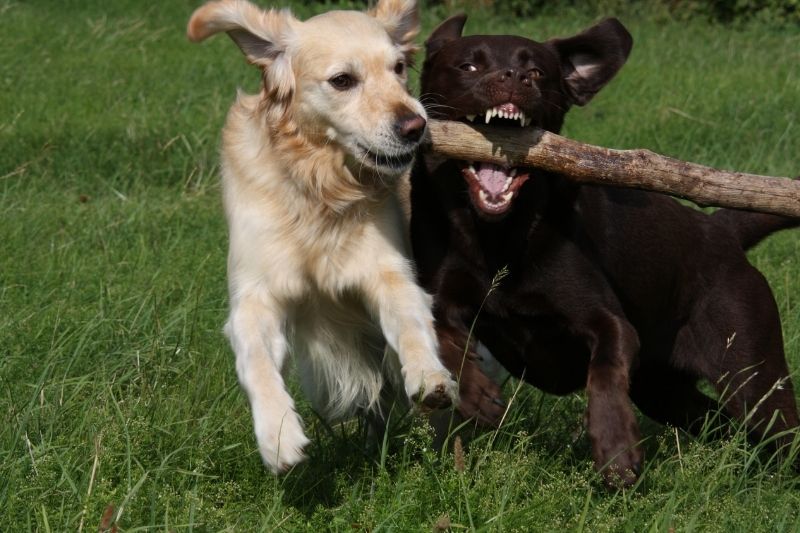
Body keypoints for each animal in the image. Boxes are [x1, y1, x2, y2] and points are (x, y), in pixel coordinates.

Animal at [187, 0, 456, 474]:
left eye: (398, 68)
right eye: (342, 81)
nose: (415, 126)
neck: (321, 186)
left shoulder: (388, 271)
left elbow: (409, 323)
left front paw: (429, 374)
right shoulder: (255, 295)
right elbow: (257, 360)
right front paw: (277, 435)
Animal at [412, 13, 800, 486]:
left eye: (537, 71)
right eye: (468, 65)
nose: (514, 78)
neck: (494, 235)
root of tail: (719, 229)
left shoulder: (607, 322)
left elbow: (605, 369)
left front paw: (616, 450)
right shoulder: (441, 297)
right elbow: (444, 336)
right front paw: (477, 396)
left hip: (751, 370)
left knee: (778, 428)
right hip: (664, 391)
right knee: (720, 422)